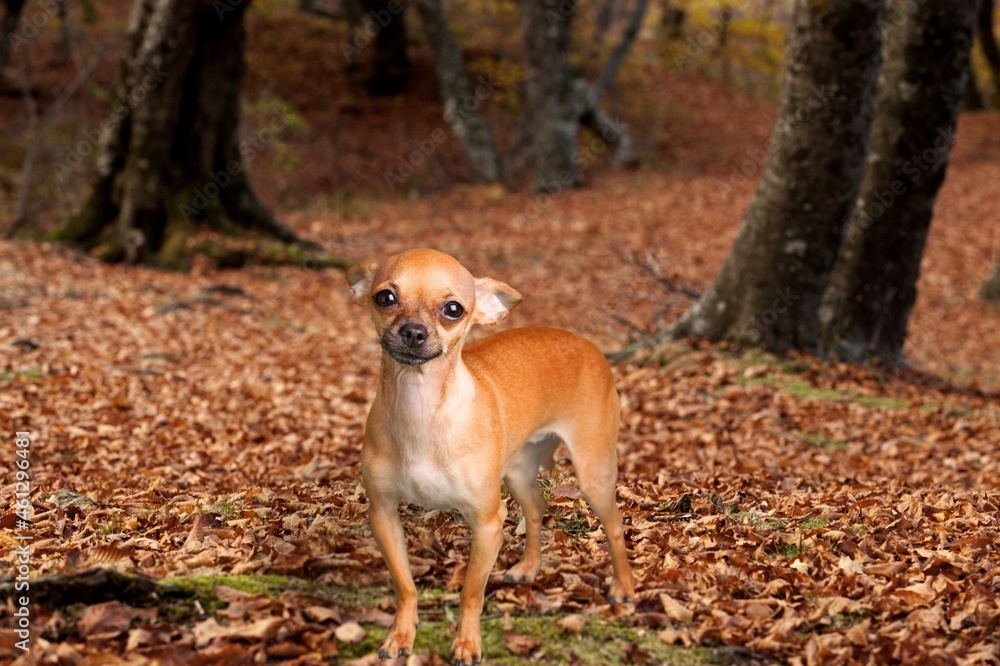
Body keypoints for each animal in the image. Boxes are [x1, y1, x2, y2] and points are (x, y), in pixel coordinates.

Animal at [348, 248, 636, 660]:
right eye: (385, 297)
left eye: (453, 309)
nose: (414, 331)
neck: (421, 410)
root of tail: (589, 345)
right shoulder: (383, 514)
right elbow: (405, 585)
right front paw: (401, 635)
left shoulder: (486, 523)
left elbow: (471, 592)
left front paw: (467, 643)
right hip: (518, 471)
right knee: (536, 508)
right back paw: (528, 567)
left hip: (593, 472)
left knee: (614, 525)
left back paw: (623, 586)